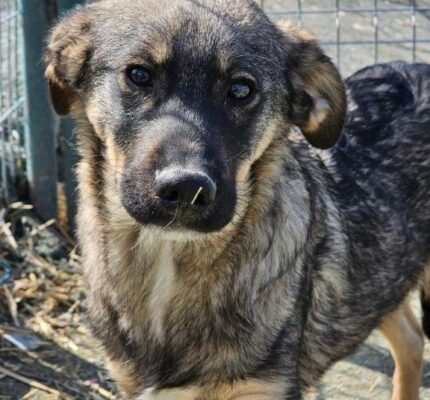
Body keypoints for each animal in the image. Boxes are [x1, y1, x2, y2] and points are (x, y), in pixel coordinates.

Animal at [45, 0, 430, 398]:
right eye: (139, 74)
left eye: (241, 89)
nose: (187, 189)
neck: (168, 260)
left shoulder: (267, 387)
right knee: (411, 338)